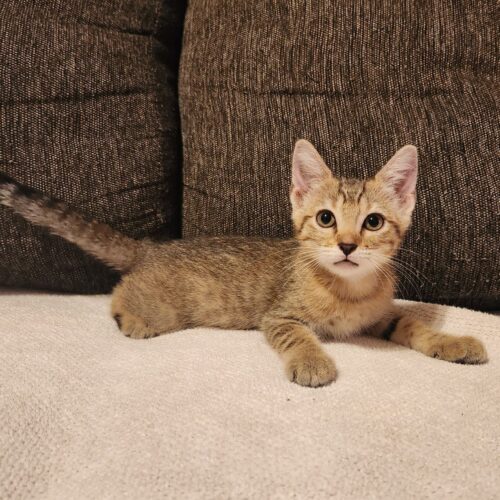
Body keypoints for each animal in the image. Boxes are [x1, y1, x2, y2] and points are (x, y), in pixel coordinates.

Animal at [0, 141, 484, 386]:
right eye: (326, 218)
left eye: (374, 222)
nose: (347, 245)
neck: (349, 291)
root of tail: (153, 247)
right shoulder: (279, 315)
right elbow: (299, 336)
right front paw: (313, 362)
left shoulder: (380, 315)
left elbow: (413, 324)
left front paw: (454, 342)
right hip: (165, 304)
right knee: (119, 291)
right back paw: (130, 317)